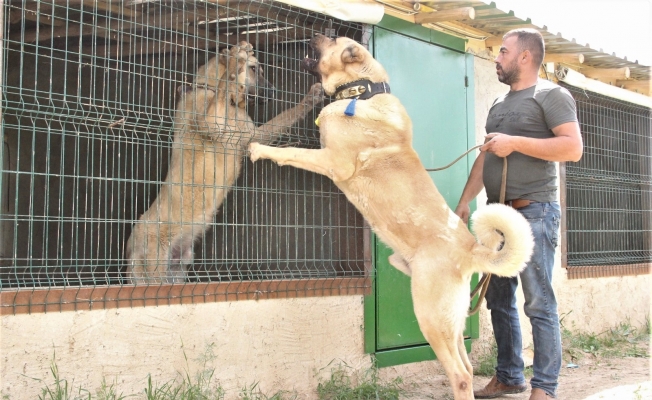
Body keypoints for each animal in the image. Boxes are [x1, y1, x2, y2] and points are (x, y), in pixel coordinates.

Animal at [126, 41, 324, 284]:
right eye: (254, 69)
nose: (274, 91)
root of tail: (130, 247)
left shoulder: (254, 136)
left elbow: (287, 116)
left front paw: (311, 98)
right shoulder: (211, 122)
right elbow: (224, 85)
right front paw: (233, 63)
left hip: (178, 270)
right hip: (156, 270)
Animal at [247, 35, 532, 400]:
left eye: (333, 40)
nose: (315, 35)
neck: (361, 92)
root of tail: (471, 249)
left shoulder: (334, 161)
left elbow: (292, 153)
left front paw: (259, 149)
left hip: (430, 317)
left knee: (460, 375)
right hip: (449, 318)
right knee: (467, 368)